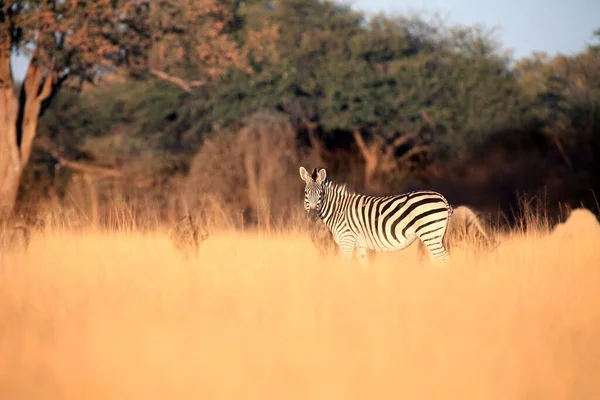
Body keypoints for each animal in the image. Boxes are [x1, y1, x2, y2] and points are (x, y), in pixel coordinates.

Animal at [300, 166, 454, 264]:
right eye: (306, 193)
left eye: (321, 194)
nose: (312, 216)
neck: (339, 210)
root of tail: (442, 197)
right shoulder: (360, 246)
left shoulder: (347, 241)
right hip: (434, 236)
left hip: (430, 234)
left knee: (445, 261)